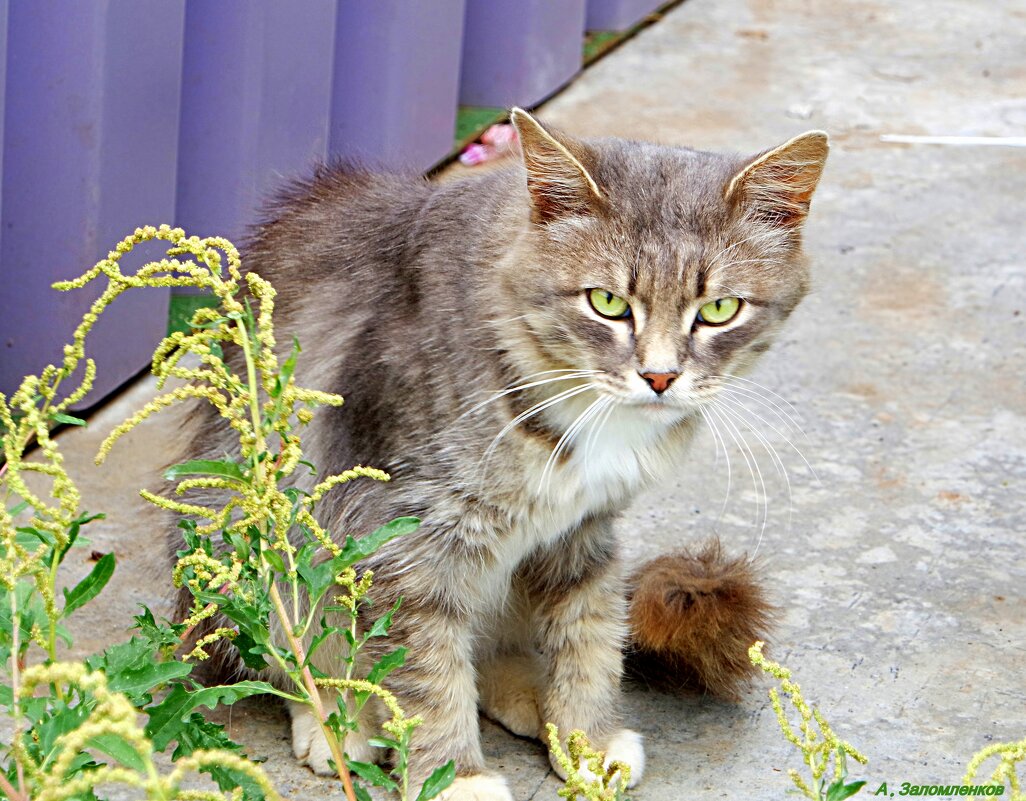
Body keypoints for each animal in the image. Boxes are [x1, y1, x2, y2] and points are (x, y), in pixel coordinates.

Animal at [174, 107, 824, 799]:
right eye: (608, 303)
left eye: (720, 310)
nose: (660, 377)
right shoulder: (408, 541)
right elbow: (429, 674)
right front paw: (454, 777)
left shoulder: (582, 532)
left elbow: (588, 636)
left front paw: (586, 737)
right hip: (254, 545)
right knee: (295, 656)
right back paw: (339, 721)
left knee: (494, 651)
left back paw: (530, 699)